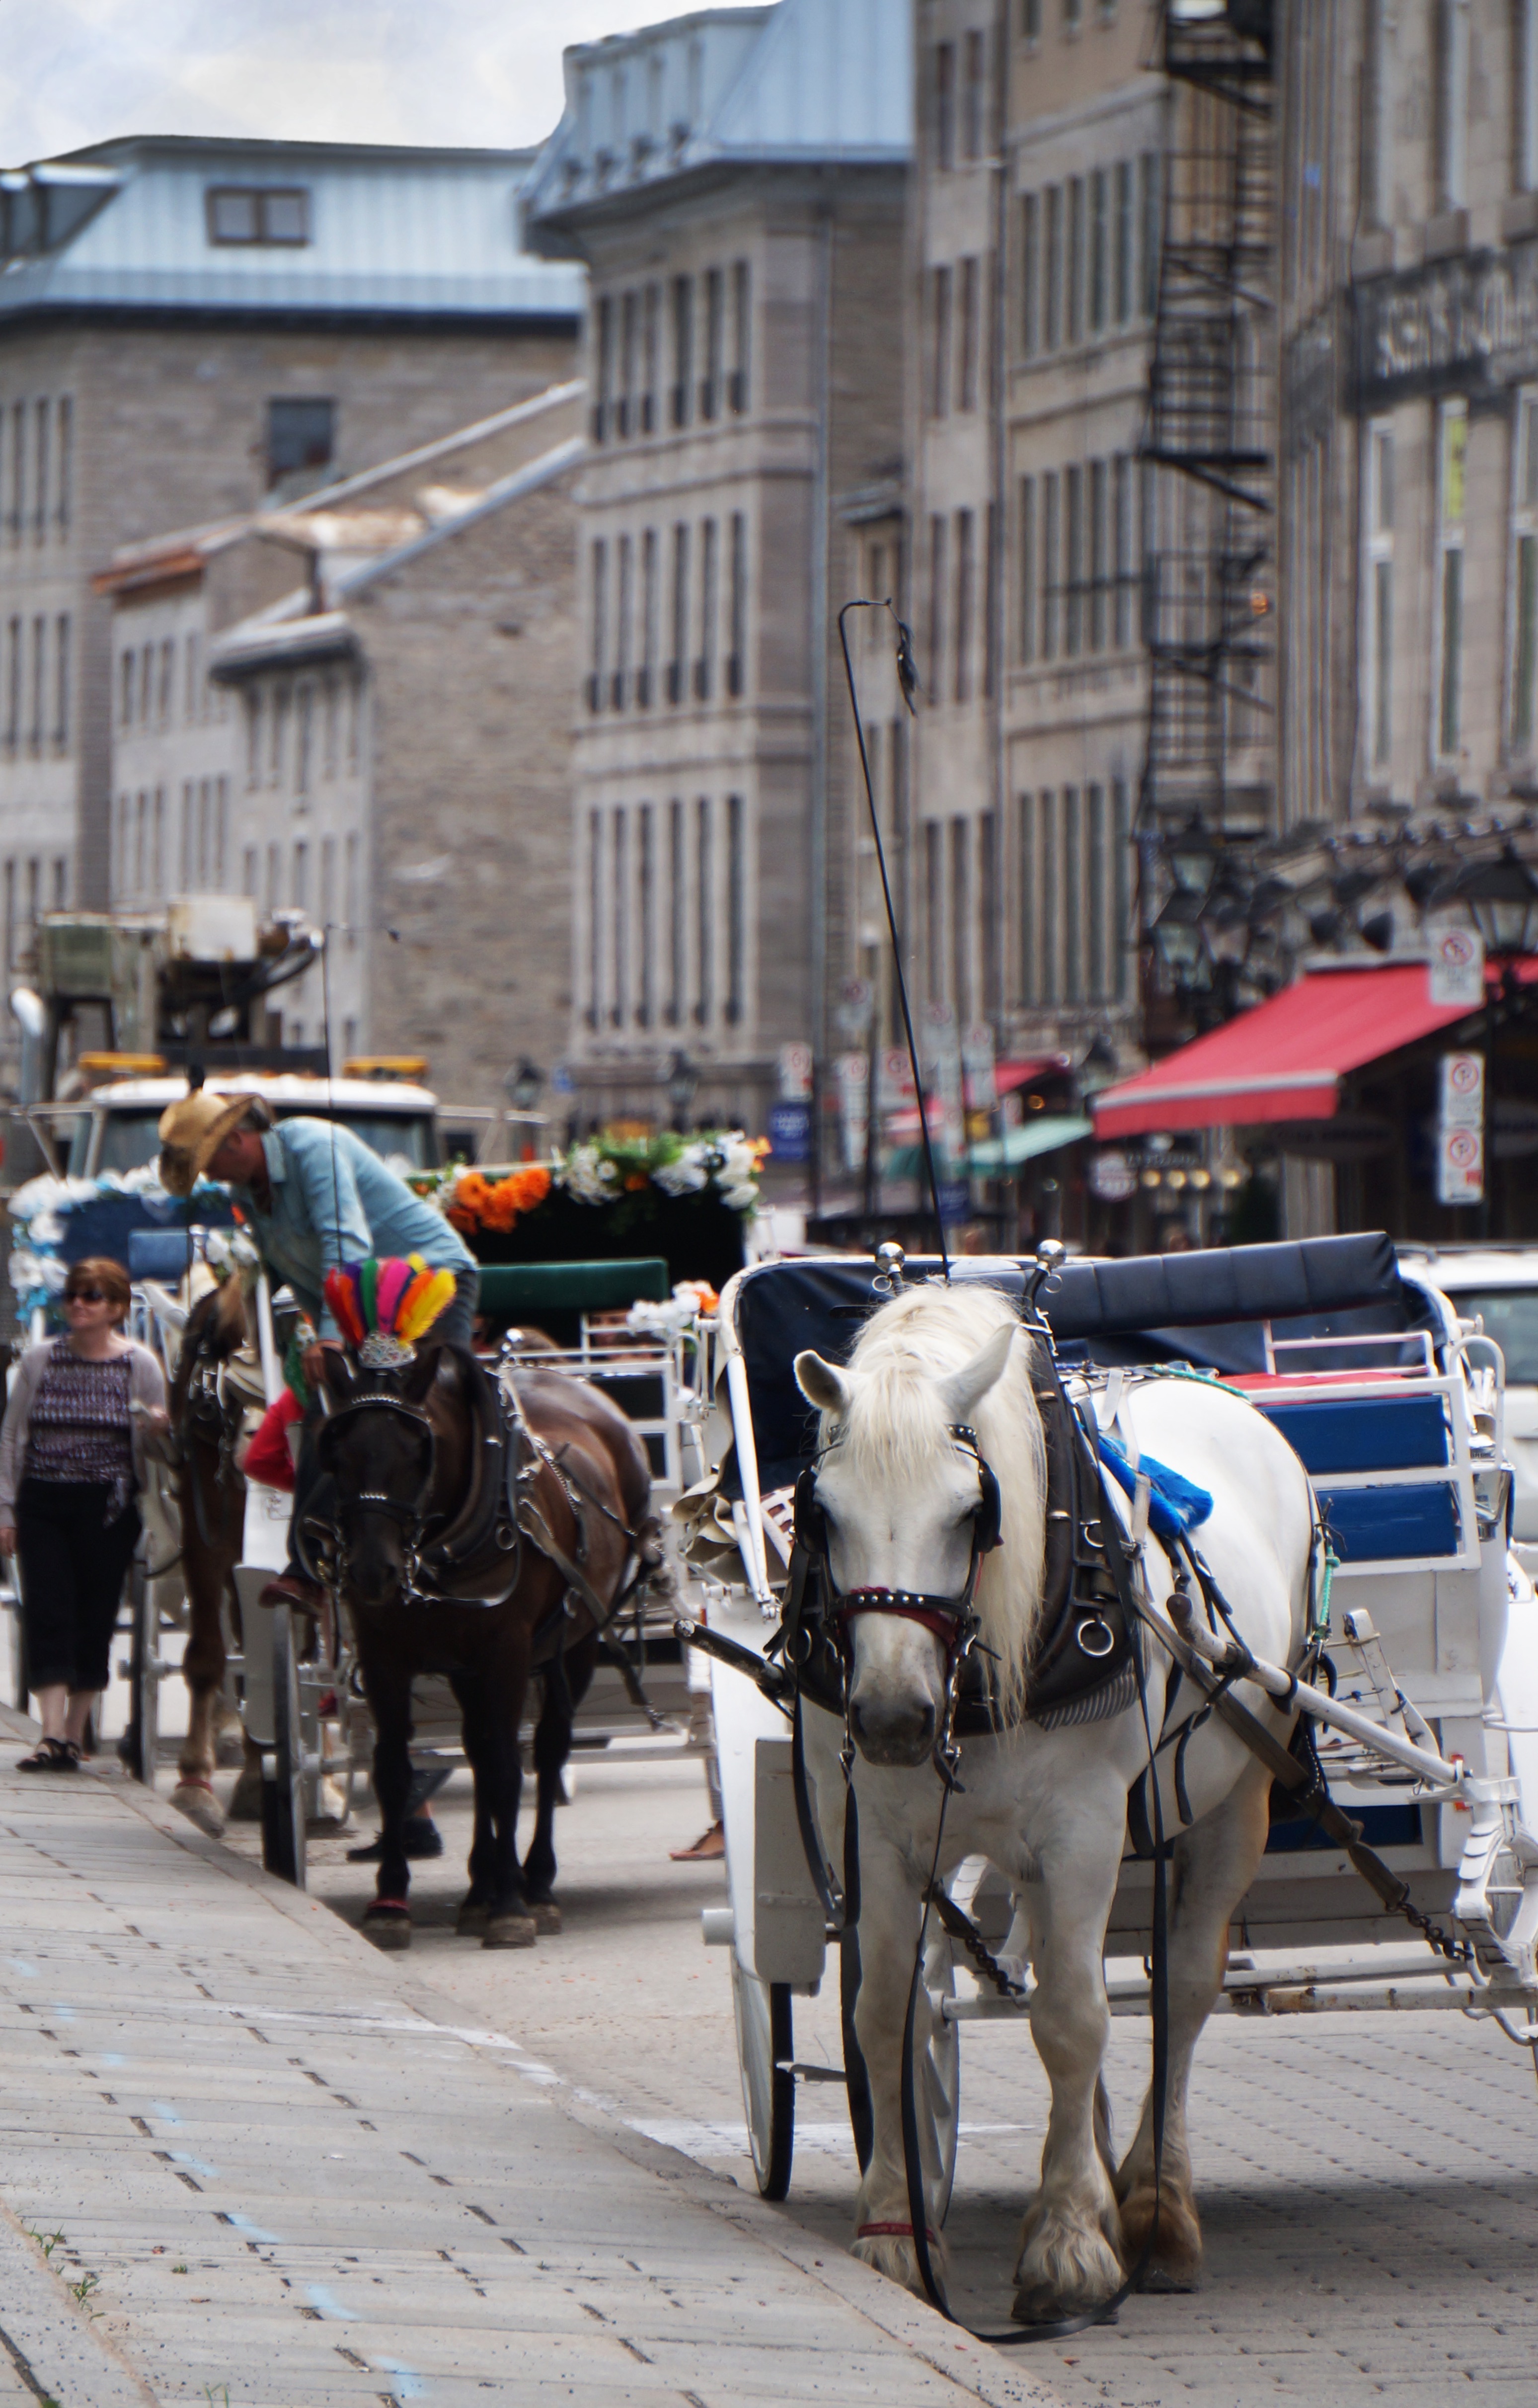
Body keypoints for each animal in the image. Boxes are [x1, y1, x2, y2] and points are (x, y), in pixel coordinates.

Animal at [313, 1340, 657, 1949]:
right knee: (477, 1748)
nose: (372, 1572)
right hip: (466, 1668)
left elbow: (505, 1768)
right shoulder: (384, 1656)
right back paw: (480, 1886)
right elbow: (394, 1769)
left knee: (546, 1750)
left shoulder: (507, 1652)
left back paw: (534, 1884)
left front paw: (510, 1906)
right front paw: (391, 1902)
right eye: (338, 1451)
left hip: (577, 1644)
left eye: (418, 1451)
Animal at [792, 1280, 1313, 2324]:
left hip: (1231, 1798)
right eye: (823, 1511)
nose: (892, 1717)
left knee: (1181, 1990)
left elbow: (1074, 2020)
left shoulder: (1081, 1829)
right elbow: (884, 2012)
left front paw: (1069, 2245)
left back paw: (1157, 2207)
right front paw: (895, 2230)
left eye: (970, 1509)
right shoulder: (873, 1834)